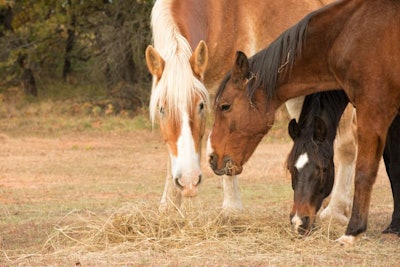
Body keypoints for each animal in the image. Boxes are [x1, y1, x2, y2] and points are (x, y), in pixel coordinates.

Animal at [144, 0, 324, 211]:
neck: (215, 14)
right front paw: (170, 205)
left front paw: (231, 208)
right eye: (161, 109)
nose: (189, 181)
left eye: (201, 106)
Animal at [208, 0, 400, 247]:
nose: (213, 158)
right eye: (291, 168)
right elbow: (394, 167)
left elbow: (364, 172)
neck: (347, 34)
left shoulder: (374, 111)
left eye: (225, 106)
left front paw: (353, 232)